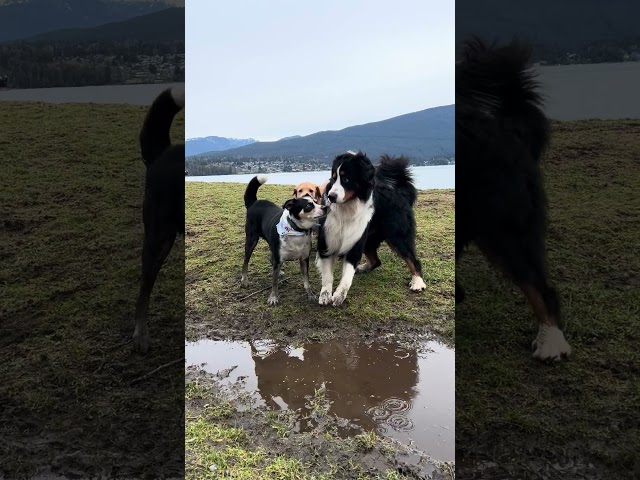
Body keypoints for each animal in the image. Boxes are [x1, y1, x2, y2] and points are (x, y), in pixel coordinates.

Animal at [244, 175, 328, 304]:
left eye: (315, 201)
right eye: (308, 206)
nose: (325, 207)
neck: (297, 230)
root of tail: (254, 202)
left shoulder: (304, 259)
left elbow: (306, 281)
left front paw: (310, 294)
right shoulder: (279, 257)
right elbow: (274, 281)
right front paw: (273, 297)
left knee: (271, 258)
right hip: (251, 240)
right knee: (246, 261)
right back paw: (244, 280)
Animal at [316, 151, 424, 308]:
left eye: (346, 179)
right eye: (333, 178)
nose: (331, 196)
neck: (347, 209)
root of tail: (400, 190)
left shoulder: (354, 242)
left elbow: (347, 276)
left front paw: (339, 295)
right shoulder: (327, 242)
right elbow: (327, 275)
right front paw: (325, 294)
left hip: (397, 237)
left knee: (413, 260)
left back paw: (418, 282)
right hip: (369, 240)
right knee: (376, 261)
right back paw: (363, 268)